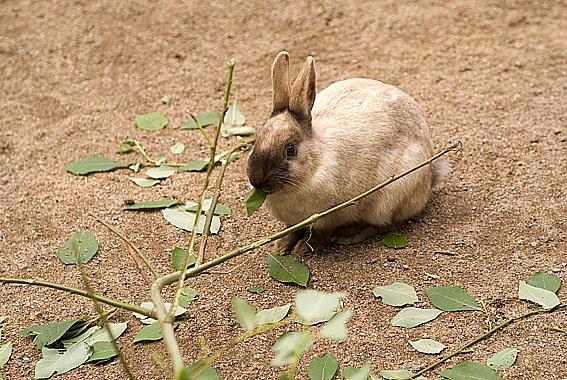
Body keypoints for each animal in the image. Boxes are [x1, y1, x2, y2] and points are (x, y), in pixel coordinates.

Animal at [246, 52, 450, 255]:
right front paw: (279, 247)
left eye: (290, 150)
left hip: (392, 197)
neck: (315, 163)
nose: (257, 181)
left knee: (386, 224)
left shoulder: (330, 215)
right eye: (258, 139)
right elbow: (291, 229)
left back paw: (351, 235)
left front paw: (302, 250)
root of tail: (430, 176)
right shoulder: (294, 220)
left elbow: (320, 234)